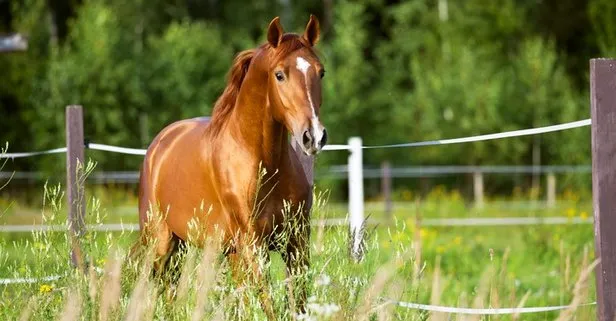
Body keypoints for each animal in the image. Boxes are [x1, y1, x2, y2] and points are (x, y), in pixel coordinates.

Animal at [135, 15, 328, 318]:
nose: (314, 136)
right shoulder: (253, 245)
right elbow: (269, 304)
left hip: (213, 250)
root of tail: (159, 144)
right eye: (279, 75)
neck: (264, 164)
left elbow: (298, 302)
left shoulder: (296, 242)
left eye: (320, 73)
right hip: (162, 242)